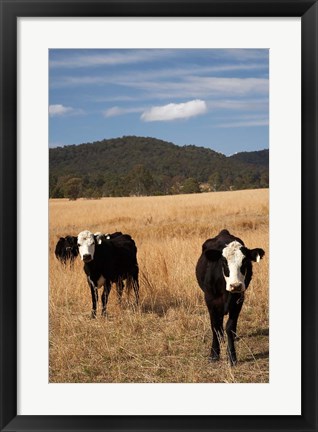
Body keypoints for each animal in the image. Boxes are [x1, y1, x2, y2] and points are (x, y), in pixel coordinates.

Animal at [195, 230, 264, 364]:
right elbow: (215, 326)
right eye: (224, 261)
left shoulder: (238, 300)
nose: (235, 285)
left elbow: (230, 326)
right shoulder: (210, 300)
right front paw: (214, 354)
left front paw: (232, 356)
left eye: (245, 261)